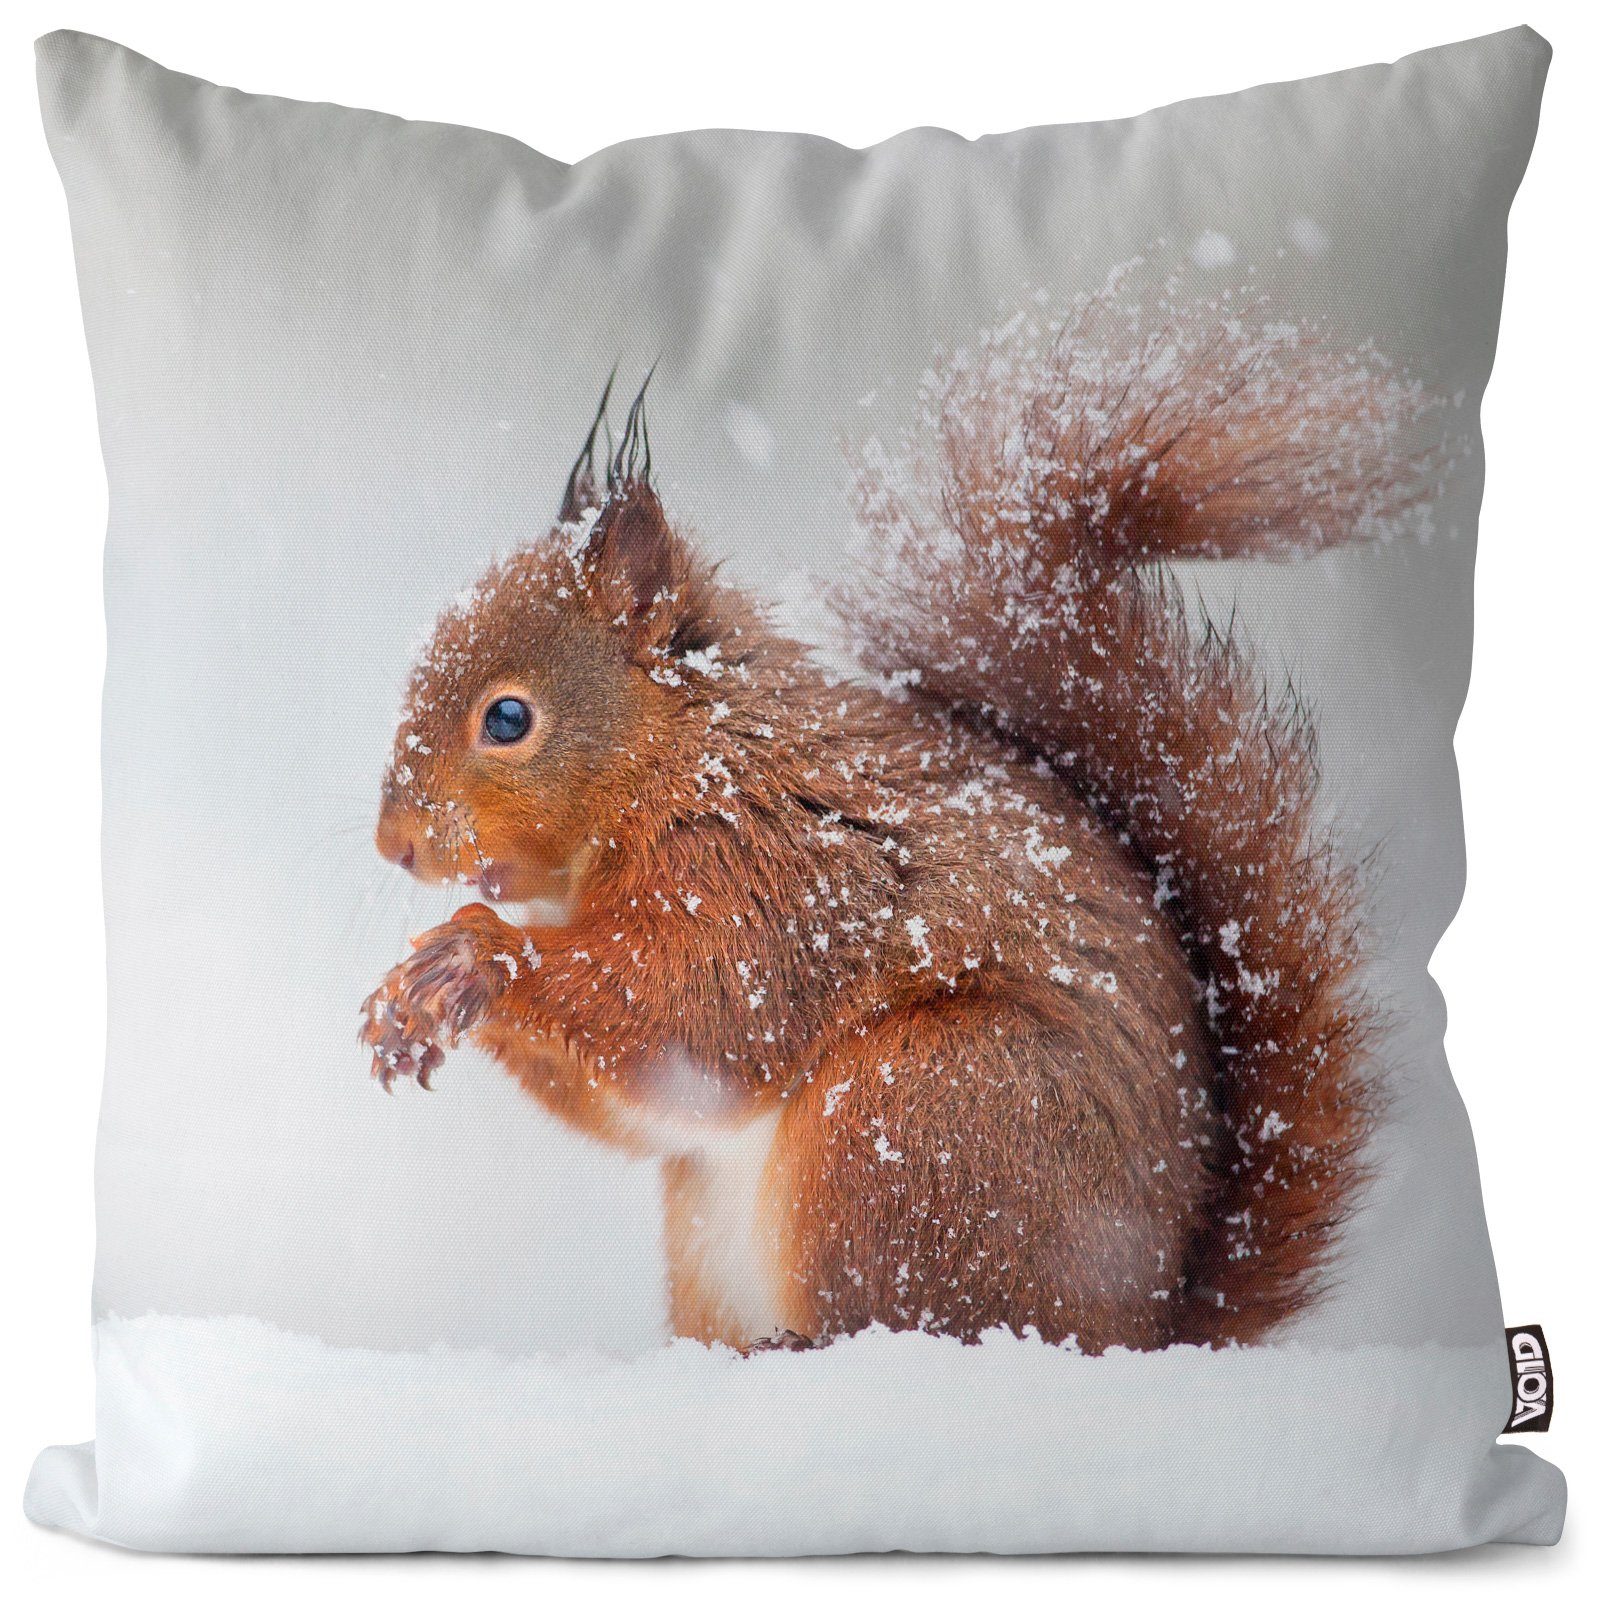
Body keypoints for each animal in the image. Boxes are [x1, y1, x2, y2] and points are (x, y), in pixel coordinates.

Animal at [360, 290, 1437, 1353]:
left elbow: (696, 1016)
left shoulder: (776, 873)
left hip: (919, 1117)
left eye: (508, 719)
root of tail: (1144, 1326)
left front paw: (475, 959)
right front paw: (405, 1008)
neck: (682, 756)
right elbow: (645, 1109)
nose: (393, 845)